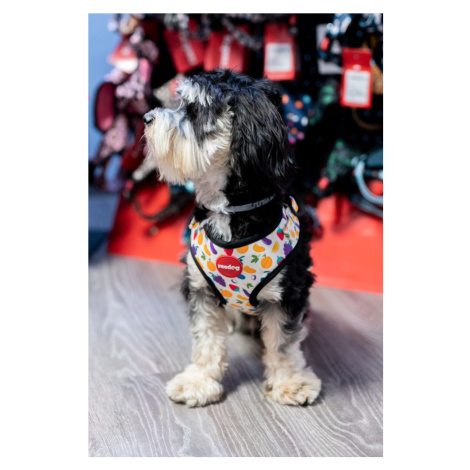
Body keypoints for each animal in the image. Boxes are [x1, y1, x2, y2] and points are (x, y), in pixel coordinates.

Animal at [143, 69, 321, 407]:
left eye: (194, 110)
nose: (146, 117)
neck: (229, 210)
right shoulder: (201, 289)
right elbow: (206, 341)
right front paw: (199, 382)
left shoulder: (287, 293)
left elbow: (283, 343)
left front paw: (290, 382)